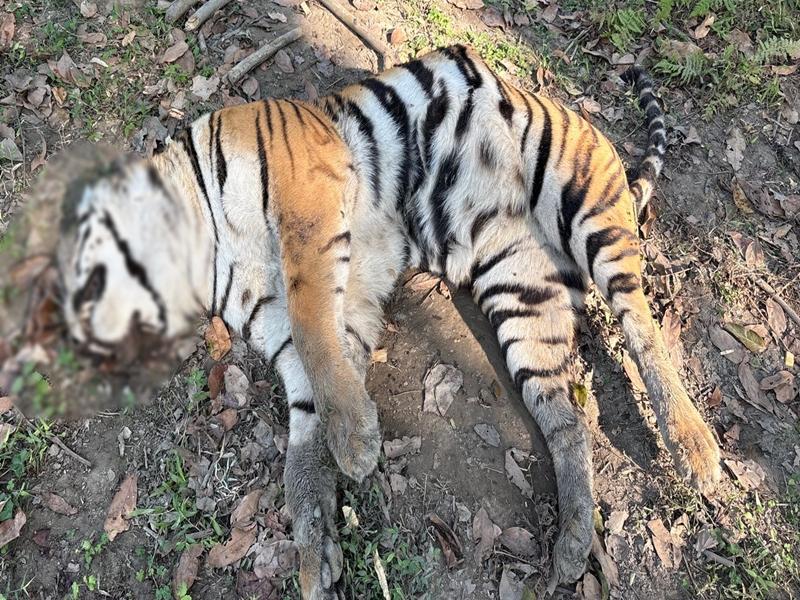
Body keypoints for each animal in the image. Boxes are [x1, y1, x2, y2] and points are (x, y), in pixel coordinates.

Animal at [45, 45, 722, 598]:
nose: (76, 341)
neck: (205, 251)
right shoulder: (297, 319)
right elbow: (306, 421)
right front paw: (315, 545)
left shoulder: (306, 201)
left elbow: (315, 329)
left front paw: (356, 445)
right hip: (521, 292)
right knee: (567, 418)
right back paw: (573, 547)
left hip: (583, 205)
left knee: (642, 327)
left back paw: (696, 450)